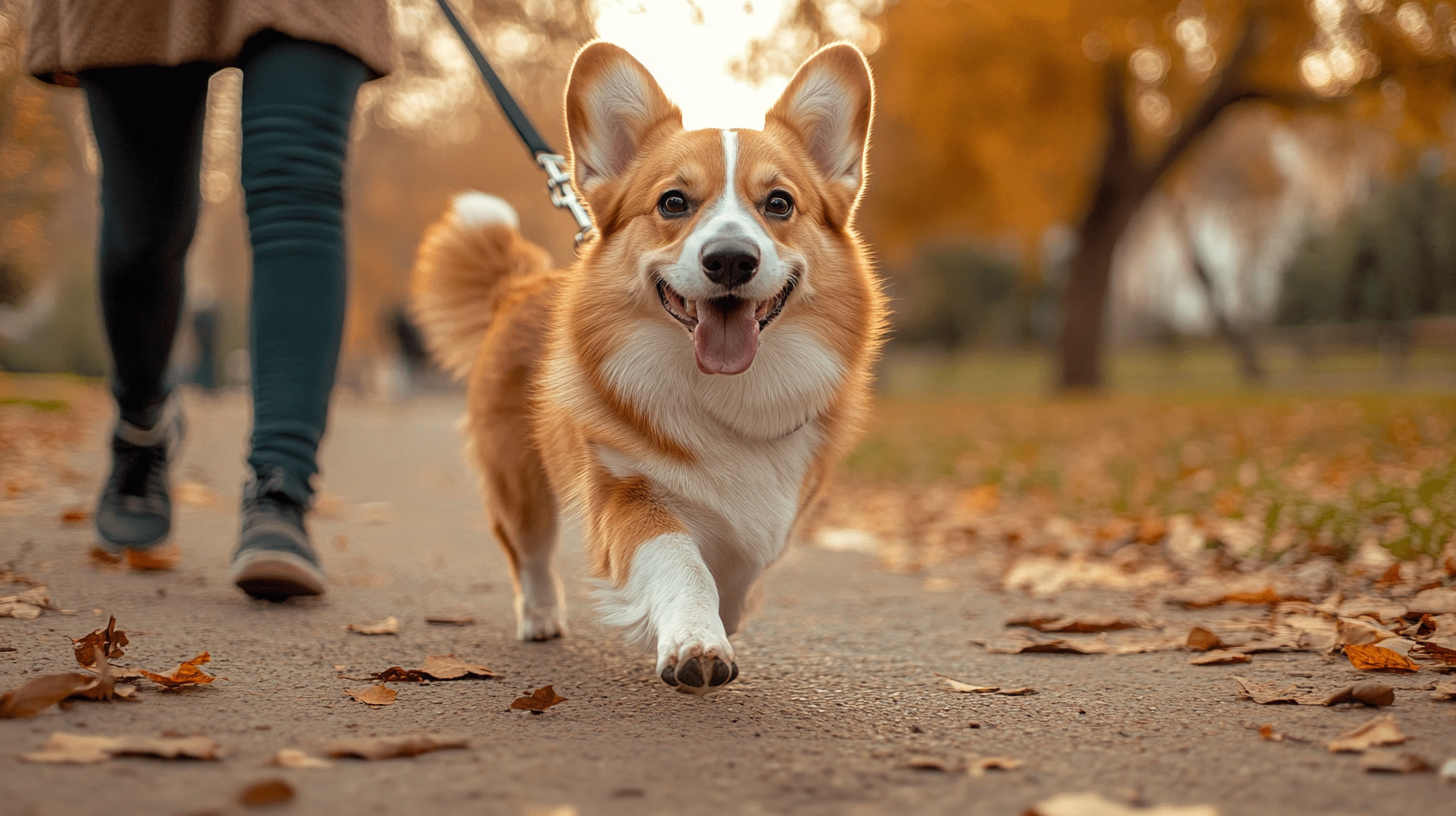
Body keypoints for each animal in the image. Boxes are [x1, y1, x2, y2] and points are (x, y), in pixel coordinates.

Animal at [413, 39, 885, 693]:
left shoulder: (775, 510)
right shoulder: (627, 490)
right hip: (518, 479)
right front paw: (696, 642)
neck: (726, 393)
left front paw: (726, 618)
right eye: (673, 202)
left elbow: (741, 566)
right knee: (529, 550)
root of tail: (518, 286)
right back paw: (540, 617)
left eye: (780, 203)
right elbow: (681, 562)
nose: (731, 259)